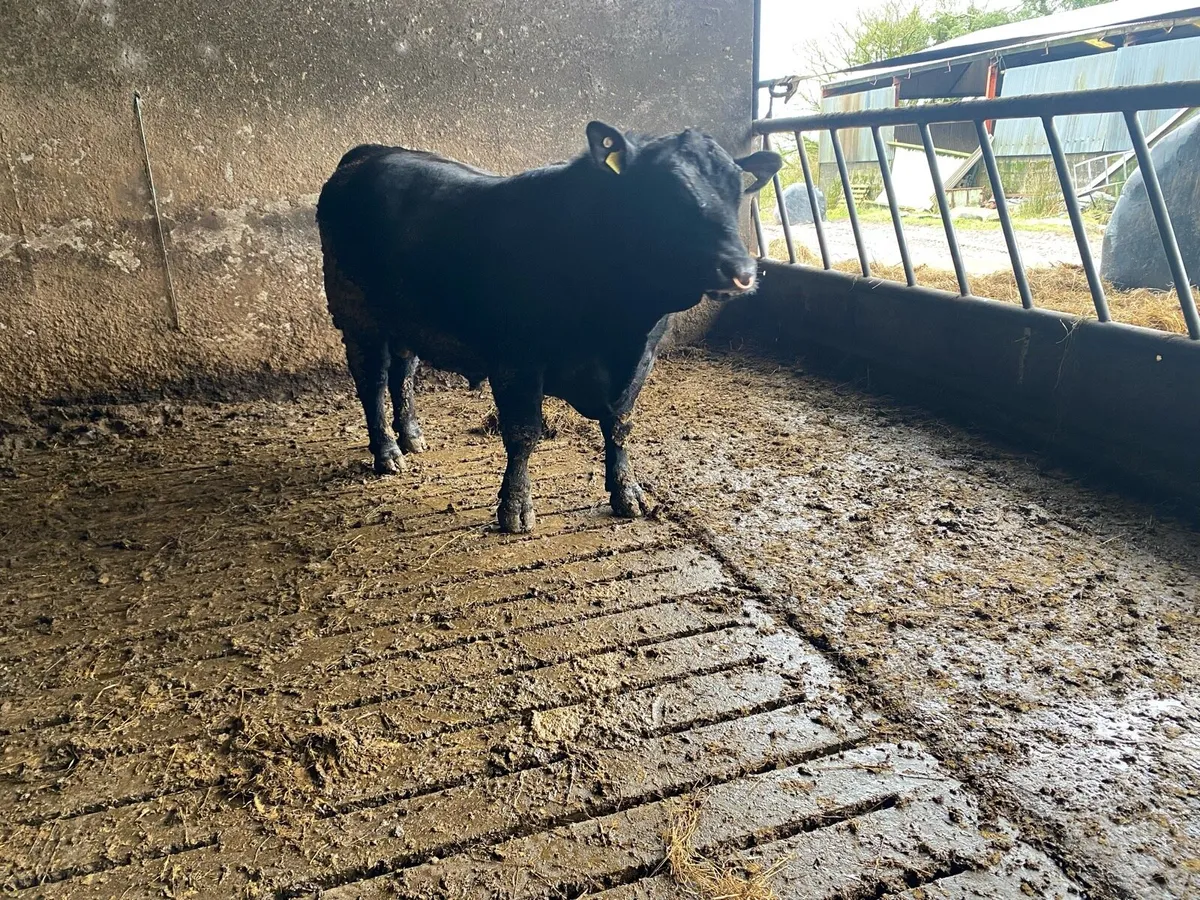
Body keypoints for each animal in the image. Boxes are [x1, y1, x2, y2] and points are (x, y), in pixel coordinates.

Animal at [316, 122, 781, 533]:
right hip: (357, 316)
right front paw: (515, 508)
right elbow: (524, 434)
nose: (741, 271)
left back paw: (412, 435)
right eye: (666, 192)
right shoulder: (517, 359)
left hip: (407, 319)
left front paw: (627, 493)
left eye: (738, 189)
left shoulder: (642, 357)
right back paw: (387, 452)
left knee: (404, 373)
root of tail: (372, 152)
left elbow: (620, 426)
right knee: (372, 383)